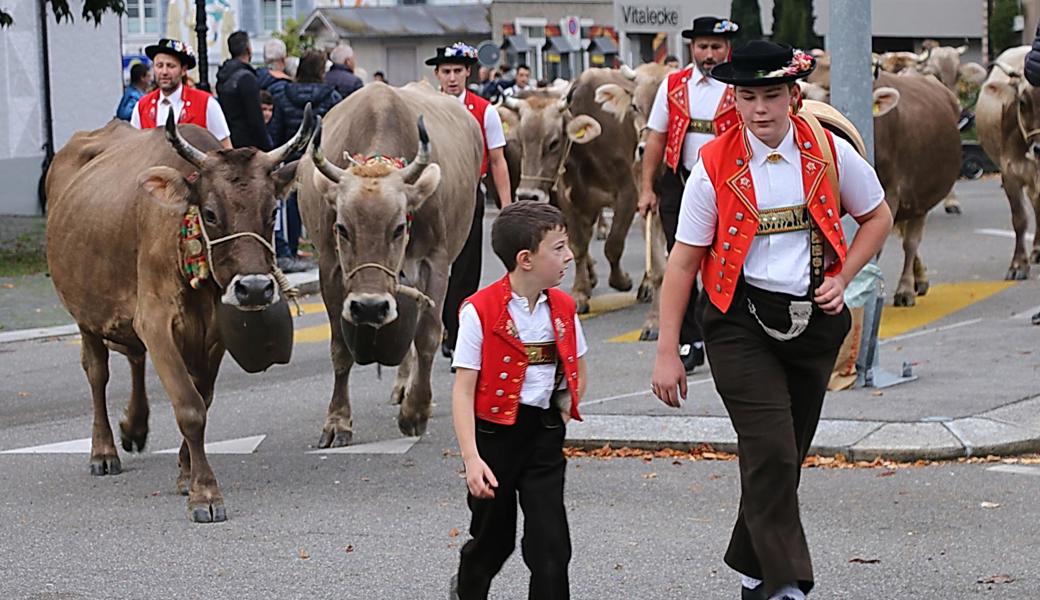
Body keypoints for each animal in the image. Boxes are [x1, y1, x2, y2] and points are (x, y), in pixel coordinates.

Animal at [44, 112, 312, 519]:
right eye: (211, 213)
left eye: (271, 212)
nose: (254, 288)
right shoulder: (156, 321)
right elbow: (189, 406)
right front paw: (205, 493)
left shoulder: (212, 333)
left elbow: (203, 397)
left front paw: (186, 474)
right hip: (84, 309)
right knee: (97, 372)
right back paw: (104, 451)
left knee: (135, 357)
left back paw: (134, 427)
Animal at [297, 80, 482, 445]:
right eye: (342, 228)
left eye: (399, 228)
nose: (369, 307)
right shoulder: (330, 267)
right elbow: (340, 348)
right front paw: (337, 421)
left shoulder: (437, 261)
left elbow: (427, 335)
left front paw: (416, 411)